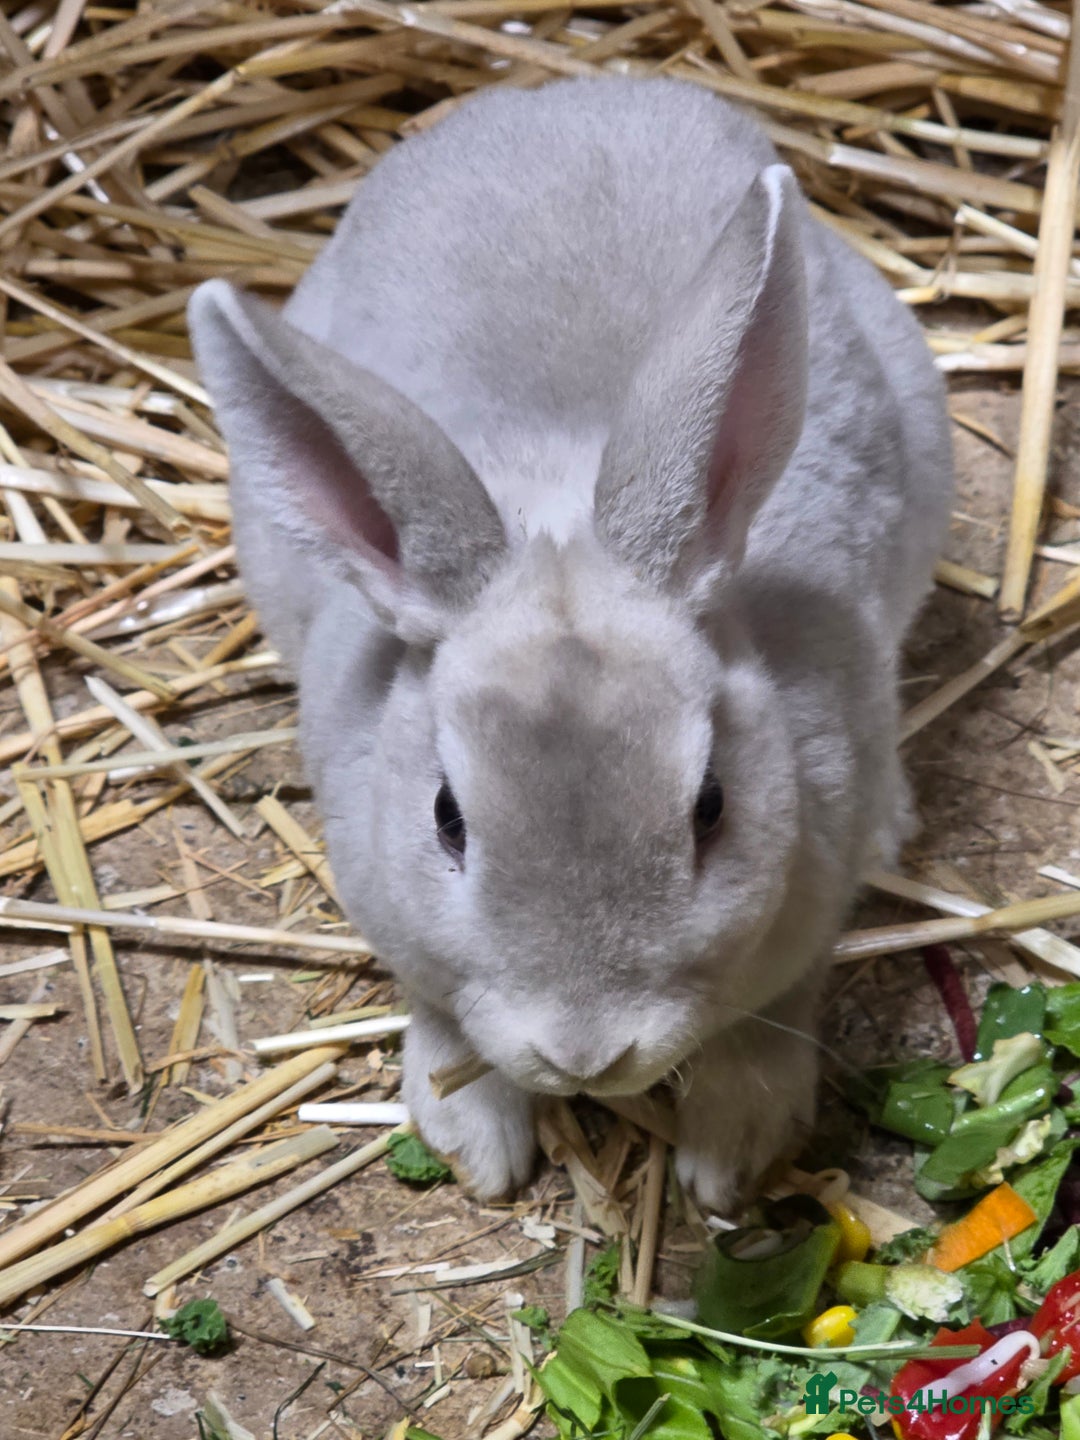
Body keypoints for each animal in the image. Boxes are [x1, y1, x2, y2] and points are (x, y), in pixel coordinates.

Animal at [188, 75, 953, 1211]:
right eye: (448, 820)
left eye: (711, 809)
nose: (588, 1053)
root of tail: (577, 90)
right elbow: (443, 1016)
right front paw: (476, 1145)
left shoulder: (808, 922)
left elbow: (771, 1025)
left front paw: (727, 1160)